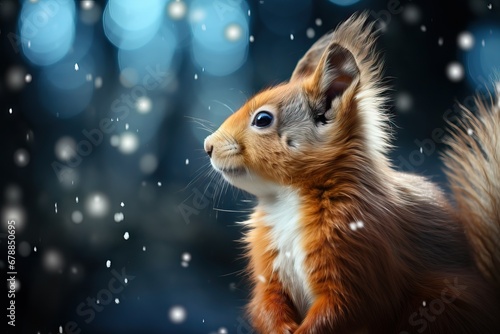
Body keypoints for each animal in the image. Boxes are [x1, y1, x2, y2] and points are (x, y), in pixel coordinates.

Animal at [203, 12, 500, 332]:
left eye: (262, 119)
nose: (207, 145)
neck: (284, 199)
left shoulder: (360, 255)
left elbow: (346, 308)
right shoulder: (269, 272)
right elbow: (266, 303)